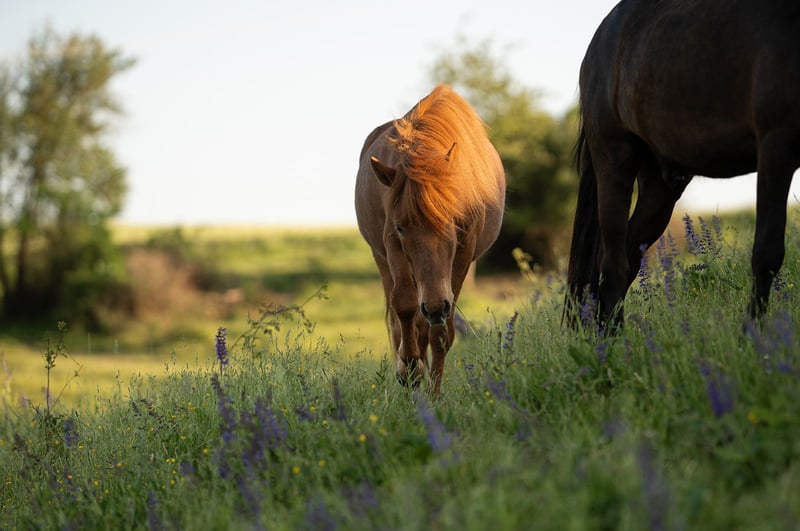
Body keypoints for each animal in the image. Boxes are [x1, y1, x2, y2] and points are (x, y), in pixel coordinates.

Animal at [355, 84, 506, 394]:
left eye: (452, 222)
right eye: (401, 228)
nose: (436, 306)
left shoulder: (463, 252)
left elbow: (440, 334)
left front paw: (433, 395)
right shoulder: (392, 243)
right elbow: (404, 304)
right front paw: (409, 367)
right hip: (383, 261)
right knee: (401, 321)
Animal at [566, 0, 800, 331]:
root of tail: (596, 45)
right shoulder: (776, 146)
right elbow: (767, 253)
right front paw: (751, 337)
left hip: (660, 185)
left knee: (628, 255)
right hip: (614, 163)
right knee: (612, 264)